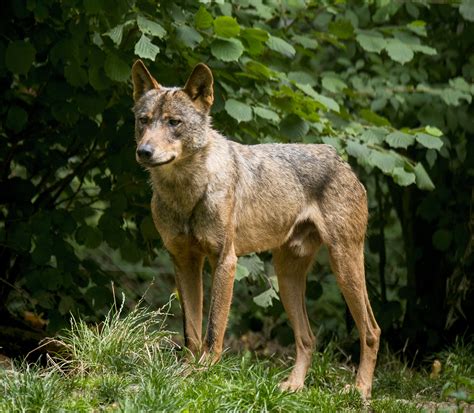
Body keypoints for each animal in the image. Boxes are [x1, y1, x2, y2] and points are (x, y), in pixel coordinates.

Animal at [131, 59, 382, 398]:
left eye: (174, 122)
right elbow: (191, 332)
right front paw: (185, 373)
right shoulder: (183, 262)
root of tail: (339, 158)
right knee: (308, 339)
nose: (144, 151)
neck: (187, 193)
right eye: (144, 121)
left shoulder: (224, 261)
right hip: (287, 276)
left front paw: (204, 373)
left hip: (344, 265)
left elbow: (213, 330)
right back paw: (293, 386)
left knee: (371, 330)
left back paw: (359, 390)